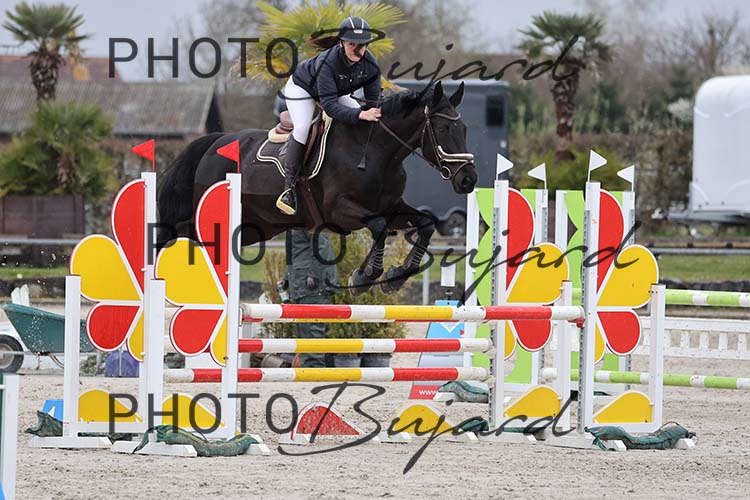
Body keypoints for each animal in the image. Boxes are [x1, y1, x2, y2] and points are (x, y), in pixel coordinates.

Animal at [157, 81, 477, 295]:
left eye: (464, 129)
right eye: (443, 129)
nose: (469, 179)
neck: (375, 152)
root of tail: (214, 142)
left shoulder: (392, 206)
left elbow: (425, 223)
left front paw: (396, 275)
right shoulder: (340, 211)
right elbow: (378, 226)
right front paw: (364, 278)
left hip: (254, 227)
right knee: (177, 231)